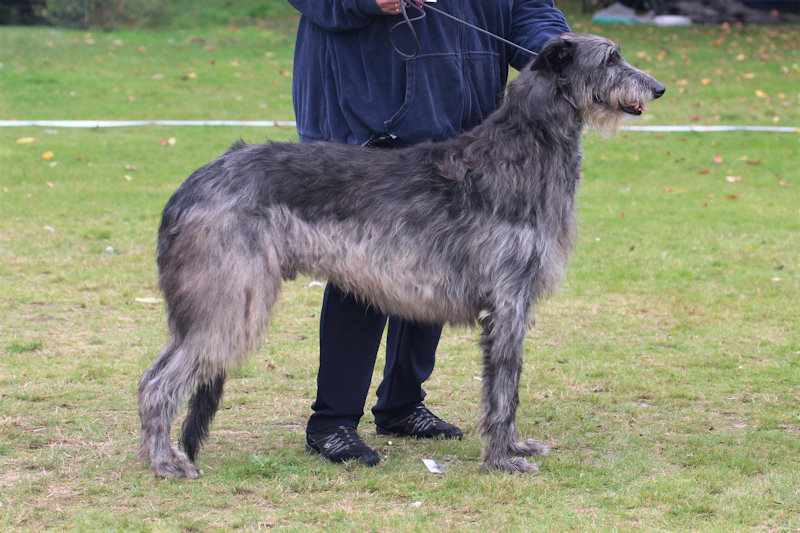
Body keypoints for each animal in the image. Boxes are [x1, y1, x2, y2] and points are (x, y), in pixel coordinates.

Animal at [139, 33, 668, 478]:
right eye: (610, 59)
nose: (659, 88)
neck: (522, 150)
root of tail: (191, 184)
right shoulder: (508, 300)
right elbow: (504, 390)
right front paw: (502, 460)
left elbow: (506, 388)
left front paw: (514, 447)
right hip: (228, 299)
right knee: (156, 381)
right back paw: (165, 462)